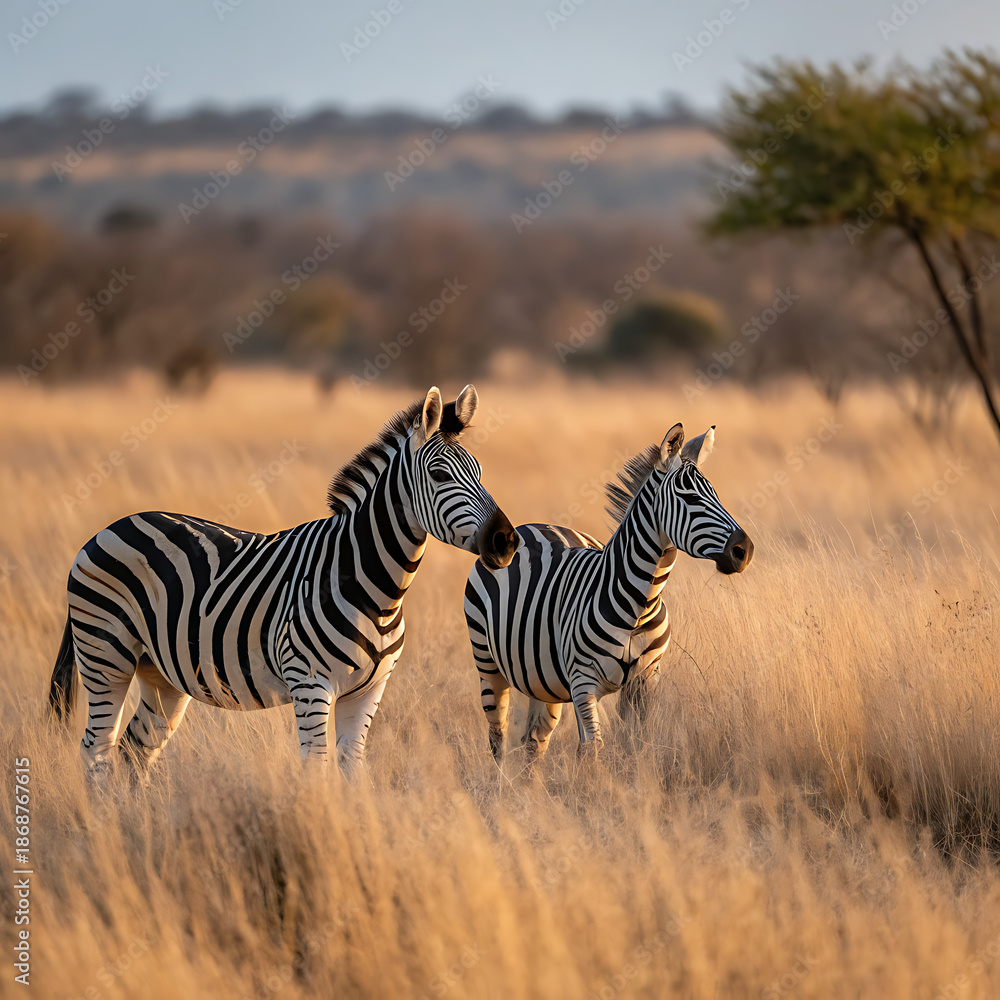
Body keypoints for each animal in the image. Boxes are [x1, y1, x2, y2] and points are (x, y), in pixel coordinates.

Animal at [49, 385, 519, 777]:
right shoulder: (310, 685)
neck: (377, 590)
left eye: (479, 471)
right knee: (96, 747)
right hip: (105, 655)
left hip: (161, 672)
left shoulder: (368, 691)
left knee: (135, 748)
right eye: (440, 475)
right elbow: (317, 768)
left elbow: (353, 768)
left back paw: (139, 823)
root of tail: (107, 529)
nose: (507, 540)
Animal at [464, 422, 753, 762]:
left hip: (543, 681)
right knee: (499, 739)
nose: (744, 550)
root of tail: (529, 527)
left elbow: (637, 746)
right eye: (691, 498)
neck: (640, 603)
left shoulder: (645, 681)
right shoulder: (583, 683)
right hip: (489, 665)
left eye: (715, 495)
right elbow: (593, 751)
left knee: (534, 743)